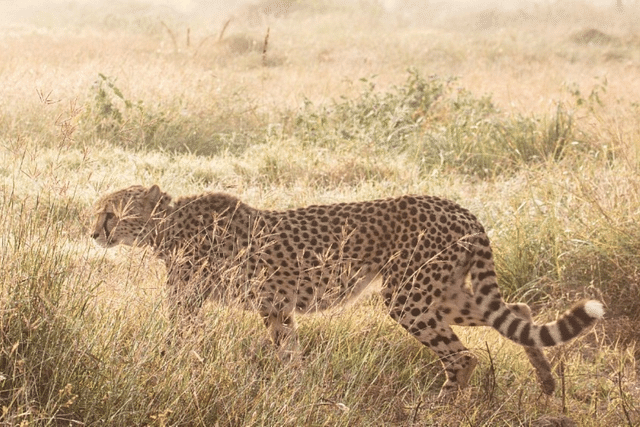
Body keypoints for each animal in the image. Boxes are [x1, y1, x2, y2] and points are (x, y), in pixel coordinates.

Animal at [92, 186, 604, 400]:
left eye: (112, 212)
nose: (94, 232)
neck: (164, 224)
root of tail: (457, 207)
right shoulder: (275, 307)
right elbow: (290, 353)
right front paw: (297, 391)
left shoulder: (190, 301)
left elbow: (176, 340)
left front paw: (160, 368)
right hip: (441, 294)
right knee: (517, 308)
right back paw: (546, 382)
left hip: (409, 297)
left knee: (463, 356)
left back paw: (438, 407)